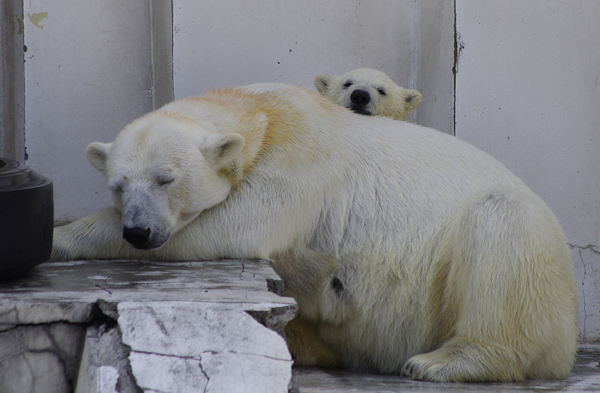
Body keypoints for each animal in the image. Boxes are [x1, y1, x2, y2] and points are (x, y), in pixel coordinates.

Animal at [51, 82, 576, 380]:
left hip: (513, 266)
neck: (263, 111)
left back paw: (441, 362)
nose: (139, 231)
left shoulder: (301, 158)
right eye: (118, 185)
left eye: (166, 179)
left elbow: (240, 223)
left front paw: (60, 237)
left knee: (502, 227)